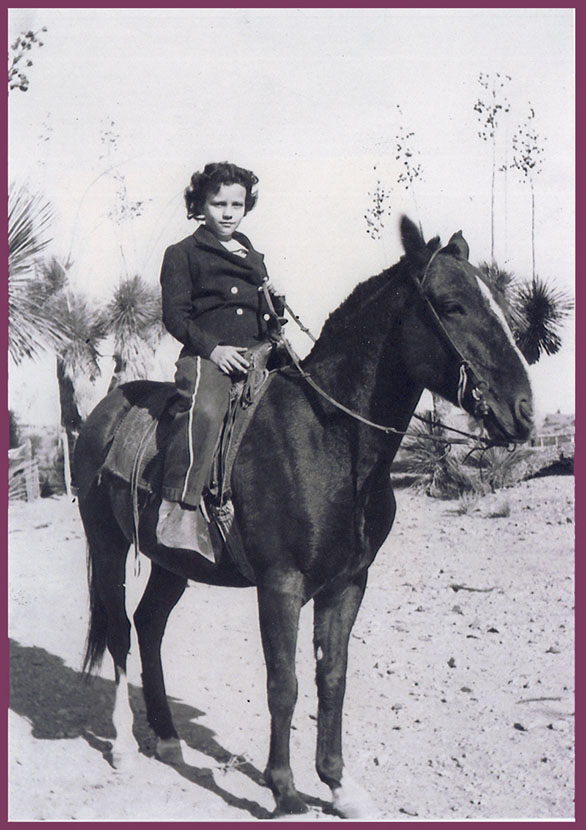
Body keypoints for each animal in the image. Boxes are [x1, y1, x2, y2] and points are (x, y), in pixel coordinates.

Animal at [74, 218, 532, 824]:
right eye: (453, 306)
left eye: (498, 301)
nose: (523, 411)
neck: (330, 437)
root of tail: (102, 415)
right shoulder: (281, 585)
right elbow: (284, 684)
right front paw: (284, 790)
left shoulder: (348, 584)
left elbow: (331, 677)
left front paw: (338, 785)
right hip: (105, 546)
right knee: (121, 632)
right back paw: (126, 747)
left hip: (173, 563)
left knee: (150, 625)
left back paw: (168, 738)